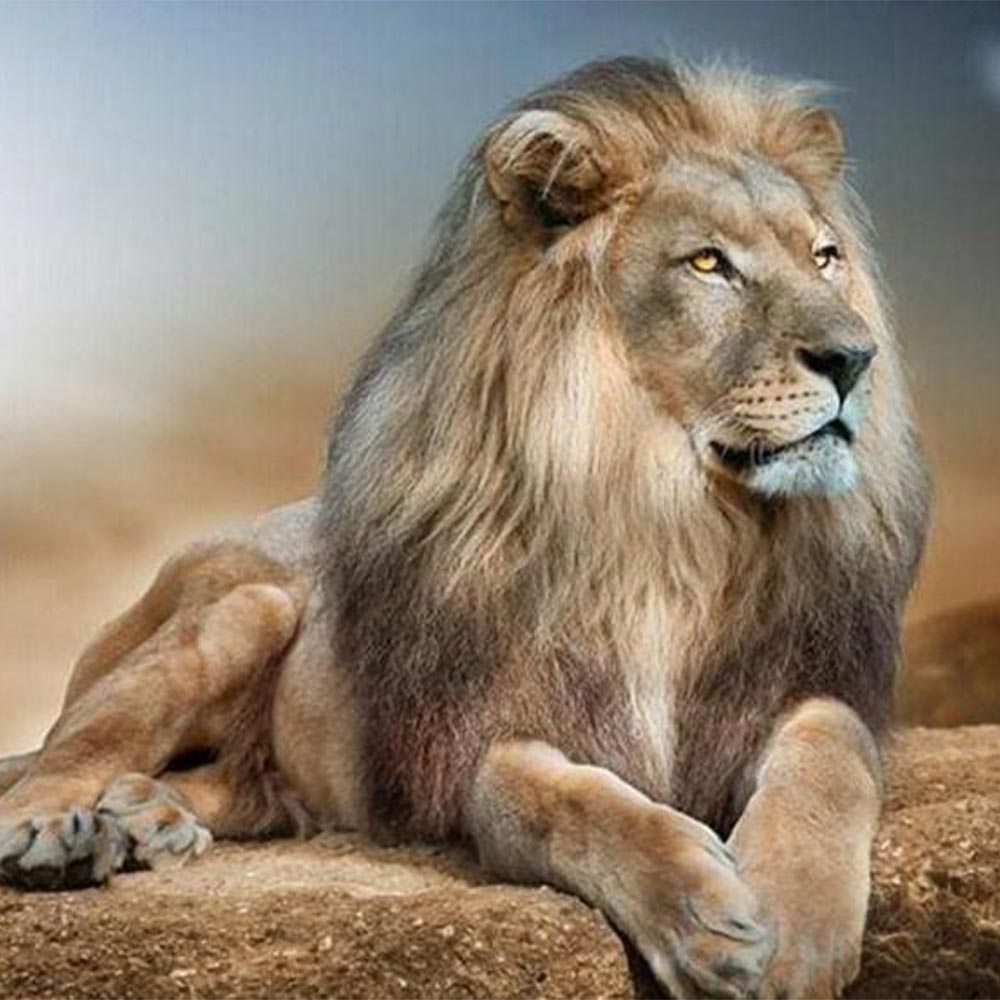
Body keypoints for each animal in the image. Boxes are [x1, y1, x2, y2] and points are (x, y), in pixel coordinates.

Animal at [0, 58, 929, 998]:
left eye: (825, 256)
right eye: (709, 263)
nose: (854, 359)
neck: (668, 520)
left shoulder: (794, 683)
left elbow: (831, 750)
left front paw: (796, 925)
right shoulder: (479, 733)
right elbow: (558, 802)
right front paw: (701, 915)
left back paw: (149, 815)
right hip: (243, 606)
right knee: (63, 752)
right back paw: (60, 832)